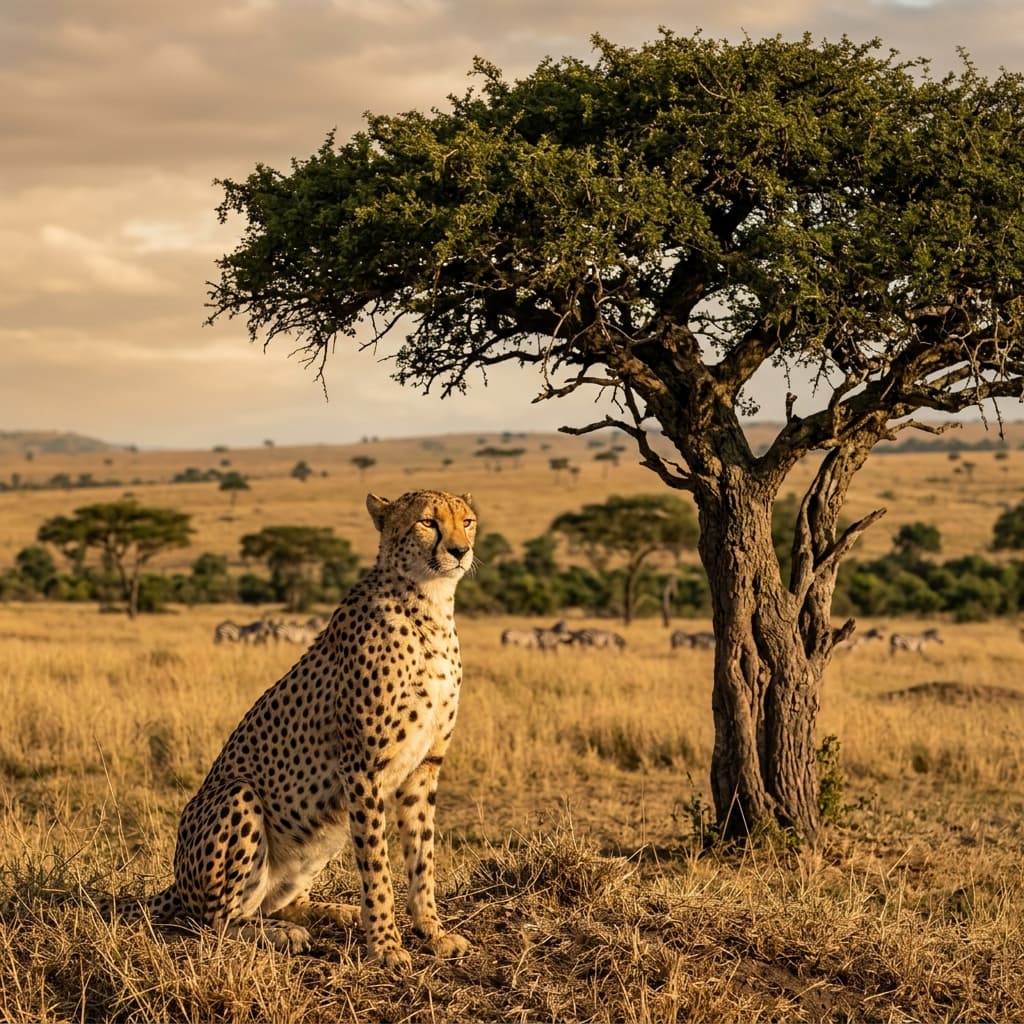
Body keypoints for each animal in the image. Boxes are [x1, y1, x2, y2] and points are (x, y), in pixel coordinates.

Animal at [106, 489, 477, 972]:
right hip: (238, 796)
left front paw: (431, 931)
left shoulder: (424, 767)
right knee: (215, 922)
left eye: (467, 521)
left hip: (322, 836)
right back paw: (283, 933)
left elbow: (422, 857)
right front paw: (386, 945)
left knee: (276, 902)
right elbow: (377, 864)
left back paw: (336, 911)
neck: (429, 606)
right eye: (428, 523)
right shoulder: (362, 769)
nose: (460, 551)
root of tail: (177, 884)